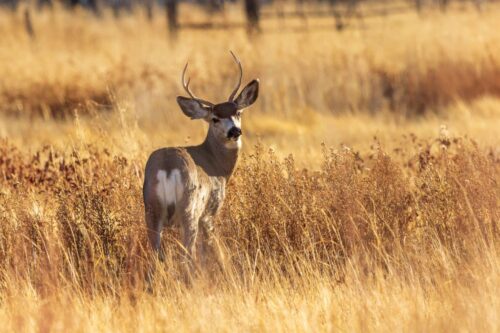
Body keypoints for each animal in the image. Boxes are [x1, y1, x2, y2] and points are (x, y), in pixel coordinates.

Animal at [141, 51, 258, 278]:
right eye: (214, 118)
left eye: (238, 113)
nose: (234, 131)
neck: (217, 166)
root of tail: (167, 167)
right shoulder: (210, 211)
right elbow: (214, 250)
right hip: (190, 209)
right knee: (188, 254)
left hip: (151, 208)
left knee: (155, 254)